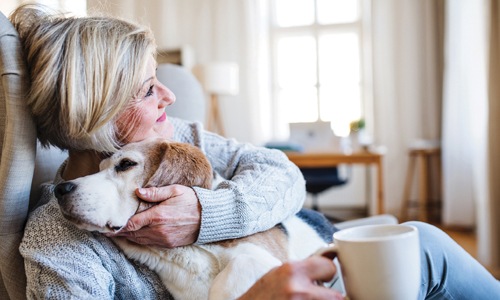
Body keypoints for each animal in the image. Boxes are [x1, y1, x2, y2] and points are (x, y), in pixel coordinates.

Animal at [54, 137, 330, 298]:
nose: (59, 190)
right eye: (99, 168)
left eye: (126, 164)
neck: (189, 252)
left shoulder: (264, 258)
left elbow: (233, 273)